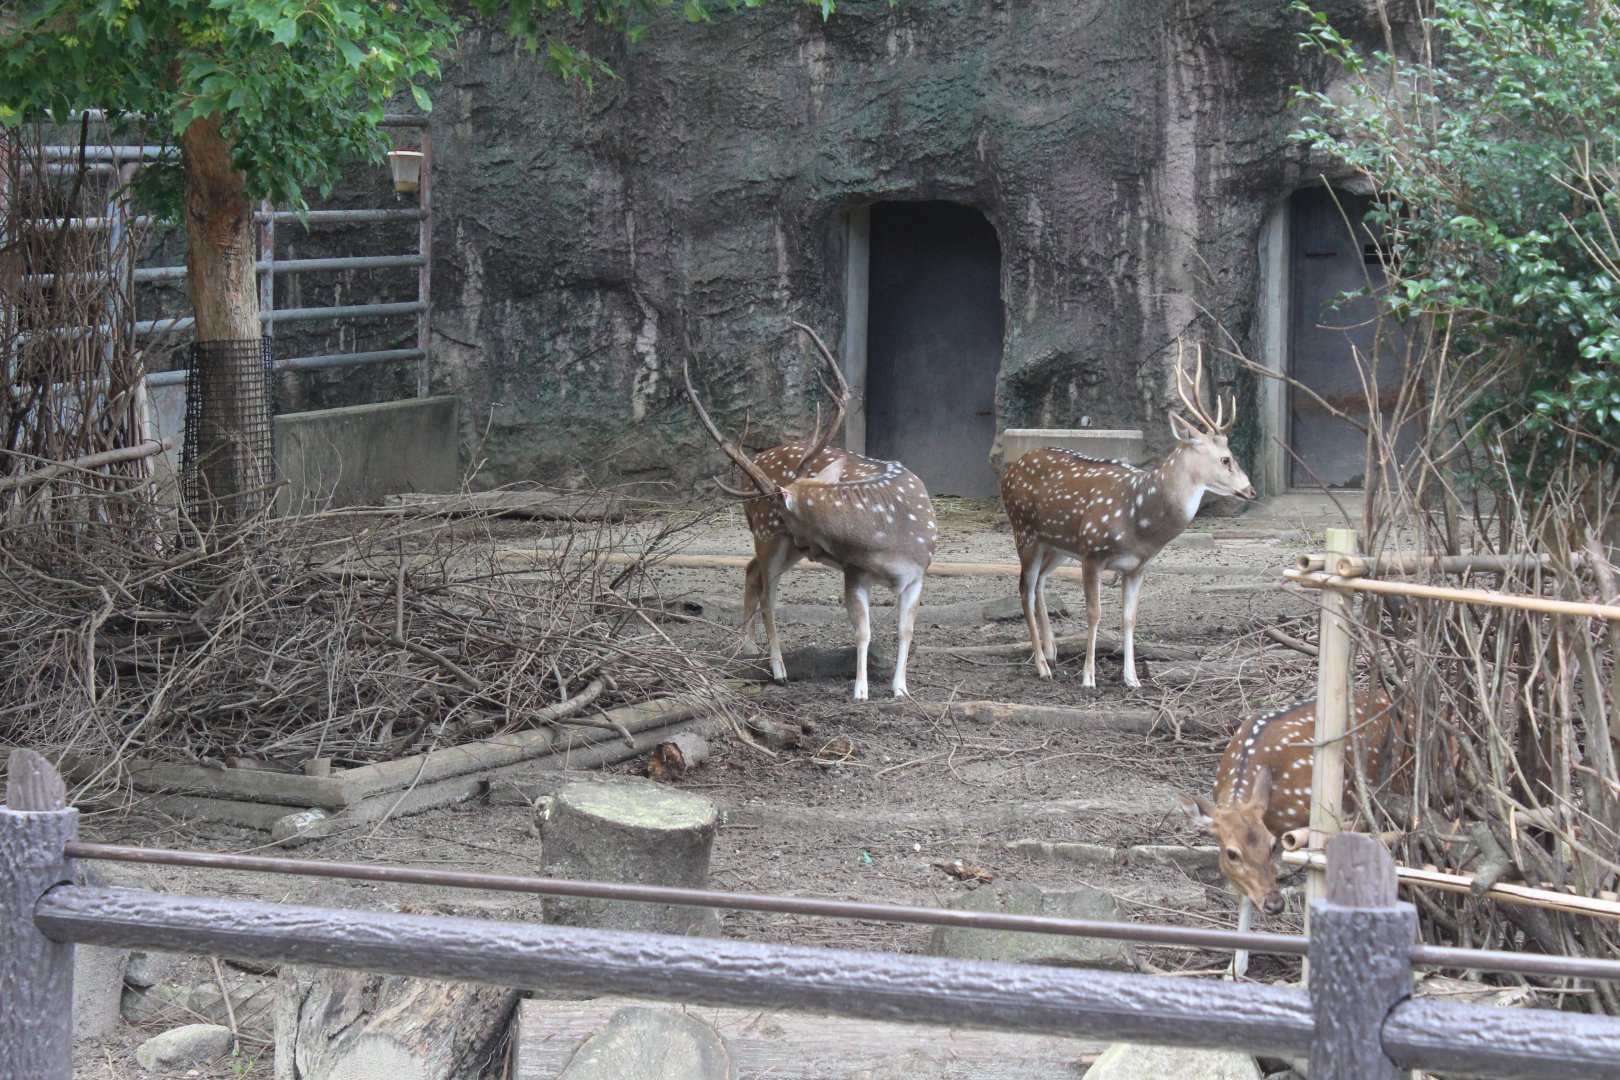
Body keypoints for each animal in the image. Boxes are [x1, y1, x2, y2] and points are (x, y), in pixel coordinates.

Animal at [683, 322, 939, 701]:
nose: (810, 546)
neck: (886, 541)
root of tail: (752, 467)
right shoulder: (853, 572)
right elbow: (863, 631)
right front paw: (860, 691)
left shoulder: (919, 573)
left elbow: (906, 629)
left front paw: (901, 688)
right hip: (768, 535)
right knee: (768, 593)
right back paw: (778, 670)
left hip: (778, 544)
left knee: (750, 570)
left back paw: (746, 648)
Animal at [1000, 341, 1257, 687]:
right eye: (1226, 459)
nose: (1251, 490)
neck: (1140, 520)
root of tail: (1011, 471)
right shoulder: (1093, 552)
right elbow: (1094, 612)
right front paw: (1089, 677)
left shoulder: (1137, 567)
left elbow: (1129, 617)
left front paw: (1132, 678)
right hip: (1024, 531)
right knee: (1024, 590)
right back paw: (1042, 665)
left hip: (1056, 544)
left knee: (1039, 582)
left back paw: (1052, 650)